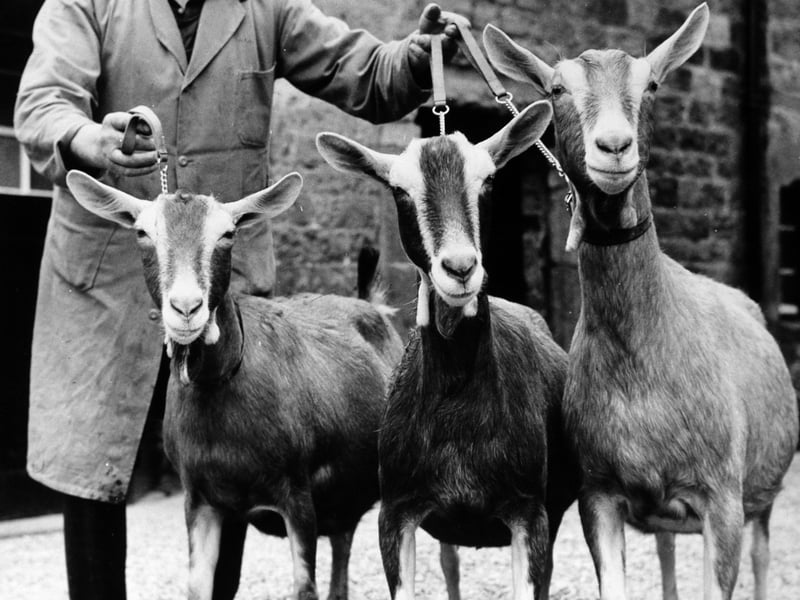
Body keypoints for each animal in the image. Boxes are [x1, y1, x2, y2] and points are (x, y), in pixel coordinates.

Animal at [484, 4, 799, 599]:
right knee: (669, 555)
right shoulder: (600, 492)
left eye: (651, 84)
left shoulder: (721, 496)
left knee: (764, 555)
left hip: (762, 490)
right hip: (664, 513)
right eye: (555, 88)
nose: (614, 146)